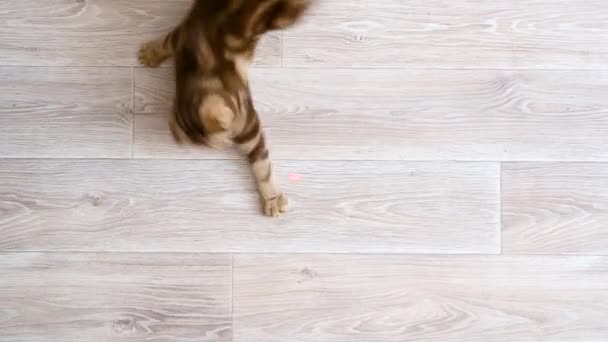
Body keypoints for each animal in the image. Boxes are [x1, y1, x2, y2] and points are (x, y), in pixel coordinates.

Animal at [137, 0, 308, 216]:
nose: (229, 143)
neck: (203, 73)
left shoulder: (249, 125)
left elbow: (261, 165)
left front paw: (272, 198)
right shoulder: (185, 32)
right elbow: (167, 42)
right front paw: (152, 54)